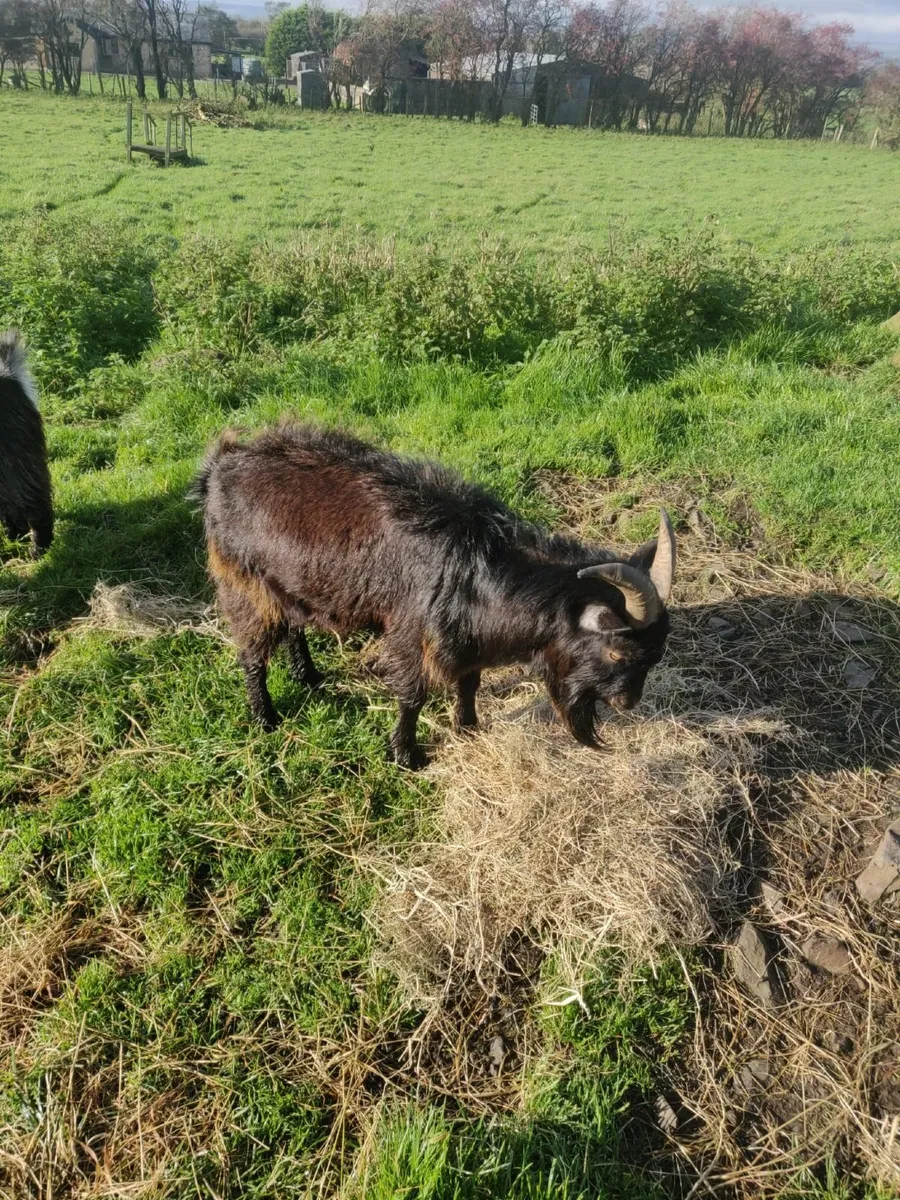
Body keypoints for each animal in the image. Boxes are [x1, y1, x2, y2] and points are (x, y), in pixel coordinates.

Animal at [194, 423, 676, 768]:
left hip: (286, 585)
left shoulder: (468, 638)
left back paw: (308, 676)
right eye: (616, 652)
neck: (479, 567)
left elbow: (469, 682)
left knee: (293, 625)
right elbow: (413, 697)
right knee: (251, 654)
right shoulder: (412, 634)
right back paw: (265, 717)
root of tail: (222, 465)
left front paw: (468, 727)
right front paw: (406, 756)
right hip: (242, 583)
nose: (627, 703)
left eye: (654, 657)